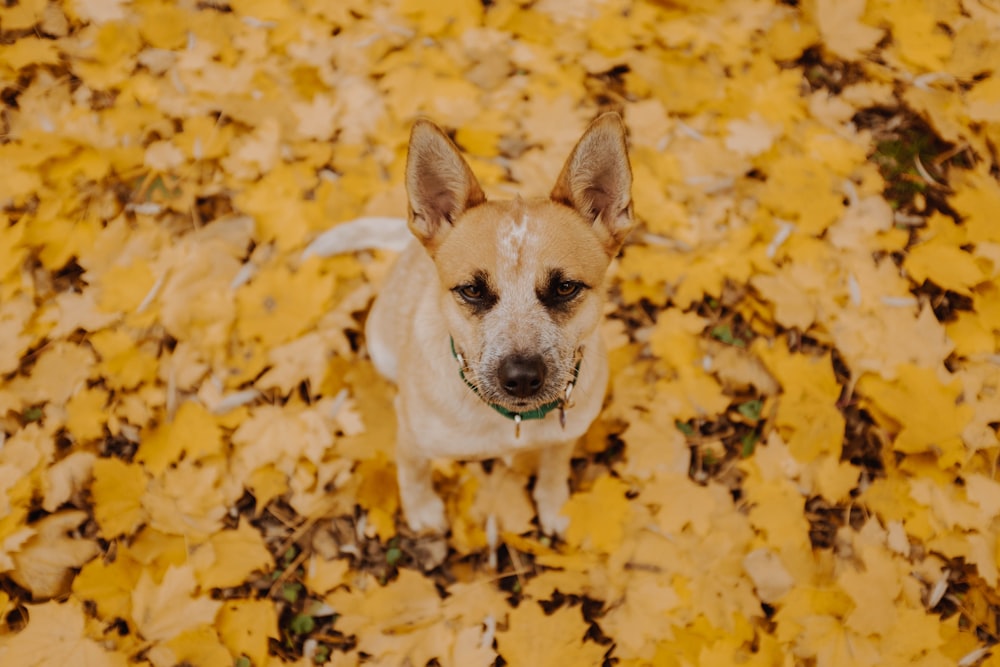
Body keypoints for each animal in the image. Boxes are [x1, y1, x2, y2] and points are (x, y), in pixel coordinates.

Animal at [366, 112, 632, 536]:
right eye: (472, 290)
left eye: (566, 287)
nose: (521, 377)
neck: (512, 423)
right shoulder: (410, 435)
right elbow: (413, 472)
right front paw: (422, 511)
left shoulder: (567, 435)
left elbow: (554, 470)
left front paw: (555, 506)